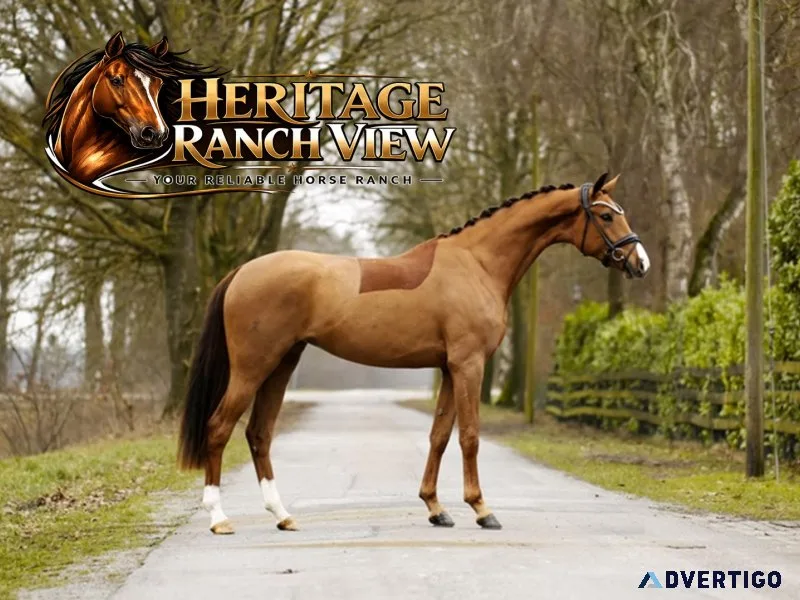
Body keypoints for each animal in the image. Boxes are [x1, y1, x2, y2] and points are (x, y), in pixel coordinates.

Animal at [178, 173, 650, 534]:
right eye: (606, 214)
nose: (639, 262)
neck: (477, 263)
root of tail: (243, 270)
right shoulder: (469, 365)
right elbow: (469, 436)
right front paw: (482, 510)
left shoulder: (449, 368)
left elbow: (439, 436)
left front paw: (436, 509)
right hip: (252, 368)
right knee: (219, 428)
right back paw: (219, 518)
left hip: (281, 365)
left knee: (259, 434)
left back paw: (283, 515)